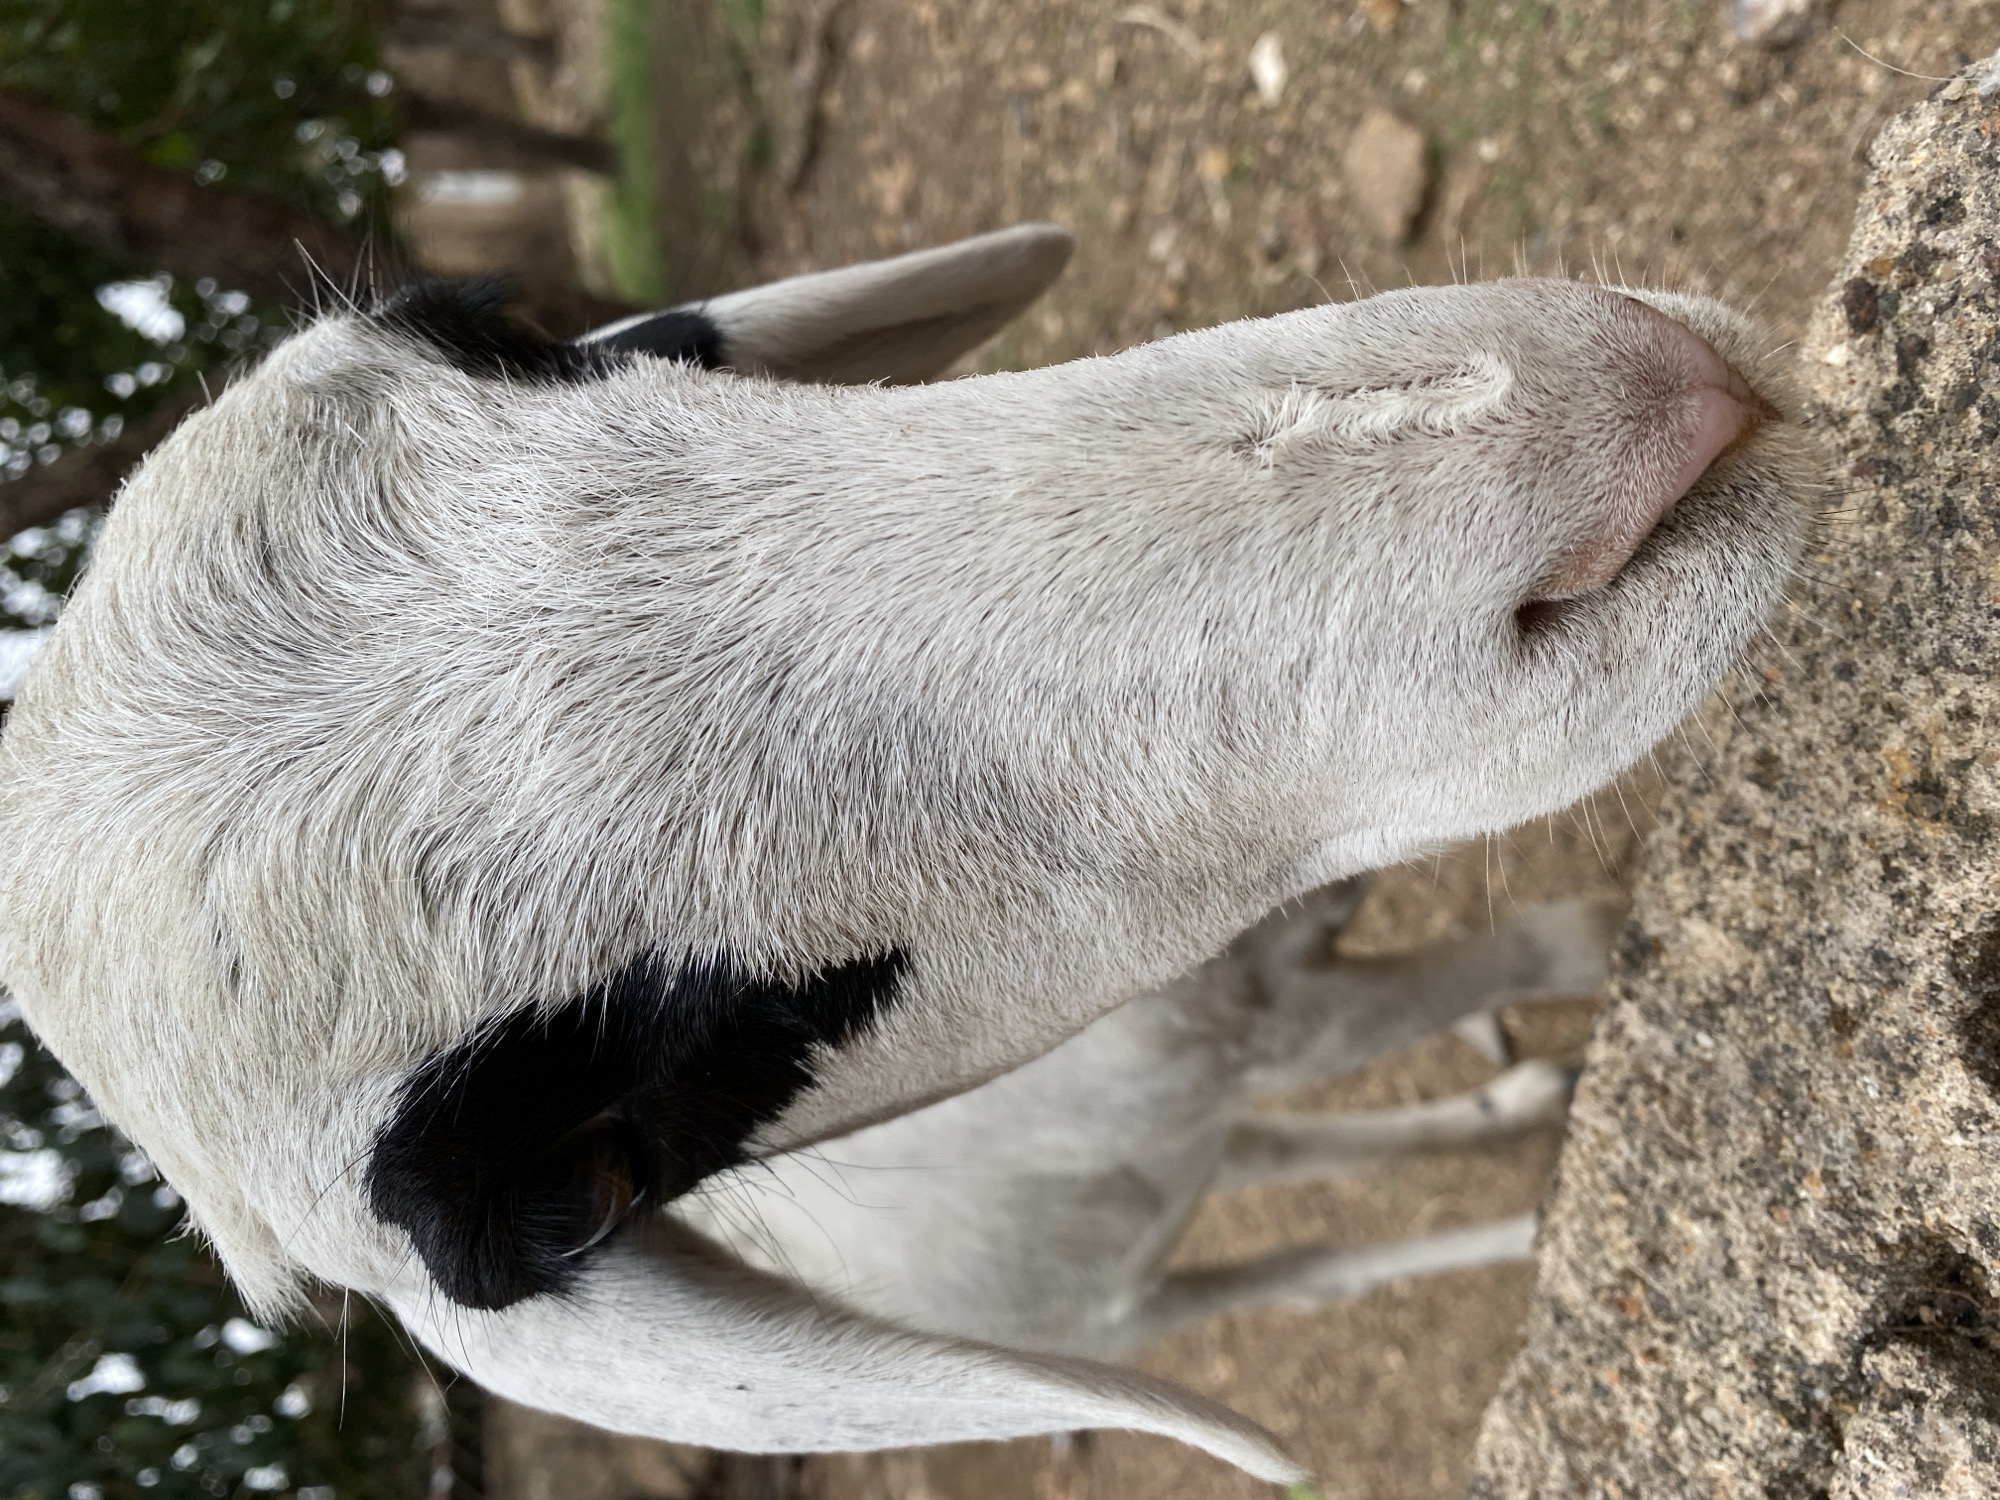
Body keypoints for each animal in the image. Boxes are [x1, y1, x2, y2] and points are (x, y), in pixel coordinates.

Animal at [0, 225, 1811, 1480]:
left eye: (509, 338)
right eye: (593, 1175)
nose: (1588, 423)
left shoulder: (1261, 977)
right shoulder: (1254, 1013)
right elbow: (1529, 949)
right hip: (1096, 1305)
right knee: (1263, 1271)